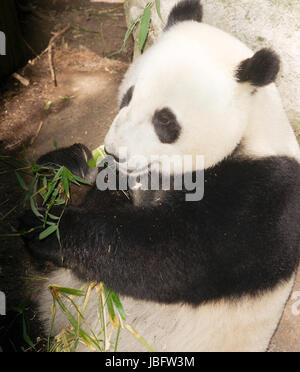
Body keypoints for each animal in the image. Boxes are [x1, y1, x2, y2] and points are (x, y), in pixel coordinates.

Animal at [22, 0, 300, 352]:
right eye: (128, 96)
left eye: (165, 120)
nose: (114, 152)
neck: (250, 128)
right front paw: (66, 173)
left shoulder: (259, 196)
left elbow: (165, 257)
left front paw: (47, 227)